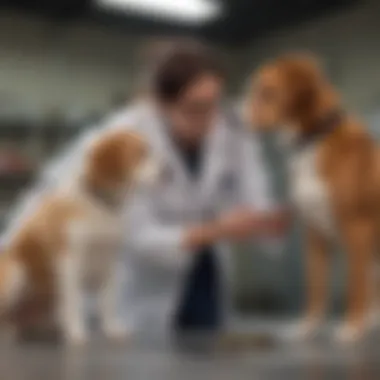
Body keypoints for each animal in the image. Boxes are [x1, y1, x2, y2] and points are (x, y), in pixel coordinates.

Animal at [0, 129, 157, 346]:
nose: (168, 172)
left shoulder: (110, 263)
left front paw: (111, 328)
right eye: (140, 154)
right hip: (18, 270)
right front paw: (77, 333)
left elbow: (108, 302)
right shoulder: (70, 262)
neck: (101, 205)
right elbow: (74, 303)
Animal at [246, 55, 380, 342]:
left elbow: (356, 286)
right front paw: (309, 327)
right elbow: (316, 288)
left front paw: (353, 327)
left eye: (266, 91)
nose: (233, 113)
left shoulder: (358, 232)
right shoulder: (314, 236)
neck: (314, 139)